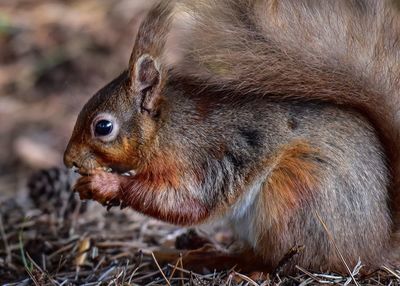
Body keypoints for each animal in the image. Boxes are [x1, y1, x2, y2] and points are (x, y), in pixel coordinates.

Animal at [65, 0, 400, 272]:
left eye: (103, 127)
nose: (69, 160)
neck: (166, 130)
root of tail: (374, 246)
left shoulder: (199, 160)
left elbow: (184, 203)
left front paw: (106, 183)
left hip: (294, 198)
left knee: (273, 259)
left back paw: (215, 260)